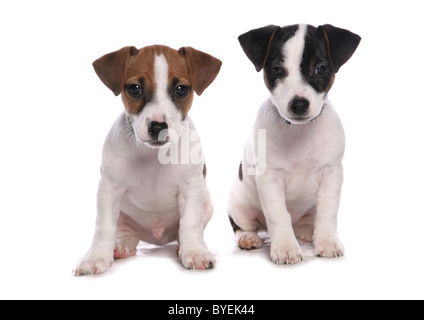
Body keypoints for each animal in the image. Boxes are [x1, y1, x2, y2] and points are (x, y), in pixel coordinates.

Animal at [74, 44, 222, 276]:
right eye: (135, 88)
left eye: (181, 89)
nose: (158, 127)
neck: (154, 156)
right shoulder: (109, 189)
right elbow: (104, 227)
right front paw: (95, 257)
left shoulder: (191, 187)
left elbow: (190, 222)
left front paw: (195, 252)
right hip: (123, 216)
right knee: (127, 234)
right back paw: (121, 247)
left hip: (207, 205)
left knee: (183, 231)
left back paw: (182, 246)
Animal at [229, 24, 362, 264]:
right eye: (277, 70)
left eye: (320, 69)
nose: (299, 104)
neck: (299, 131)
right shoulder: (269, 179)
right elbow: (278, 215)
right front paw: (285, 247)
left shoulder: (331, 174)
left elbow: (328, 212)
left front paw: (327, 241)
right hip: (240, 205)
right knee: (242, 225)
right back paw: (248, 238)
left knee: (305, 222)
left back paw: (309, 232)